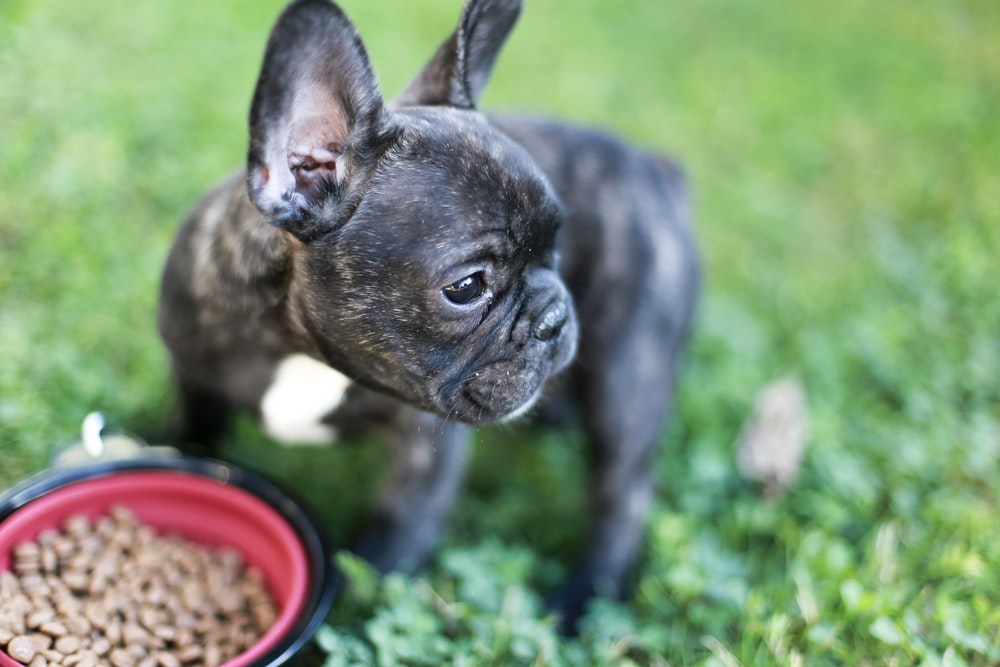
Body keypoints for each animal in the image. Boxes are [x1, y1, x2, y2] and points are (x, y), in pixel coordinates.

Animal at [160, 0, 700, 632]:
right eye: (466, 288)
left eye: (557, 247)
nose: (554, 317)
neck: (305, 355)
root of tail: (656, 169)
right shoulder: (194, 370)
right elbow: (195, 436)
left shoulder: (425, 455)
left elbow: (394, 534)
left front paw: (351, 606)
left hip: (628, 373)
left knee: (623, 492)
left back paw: (582, 598)